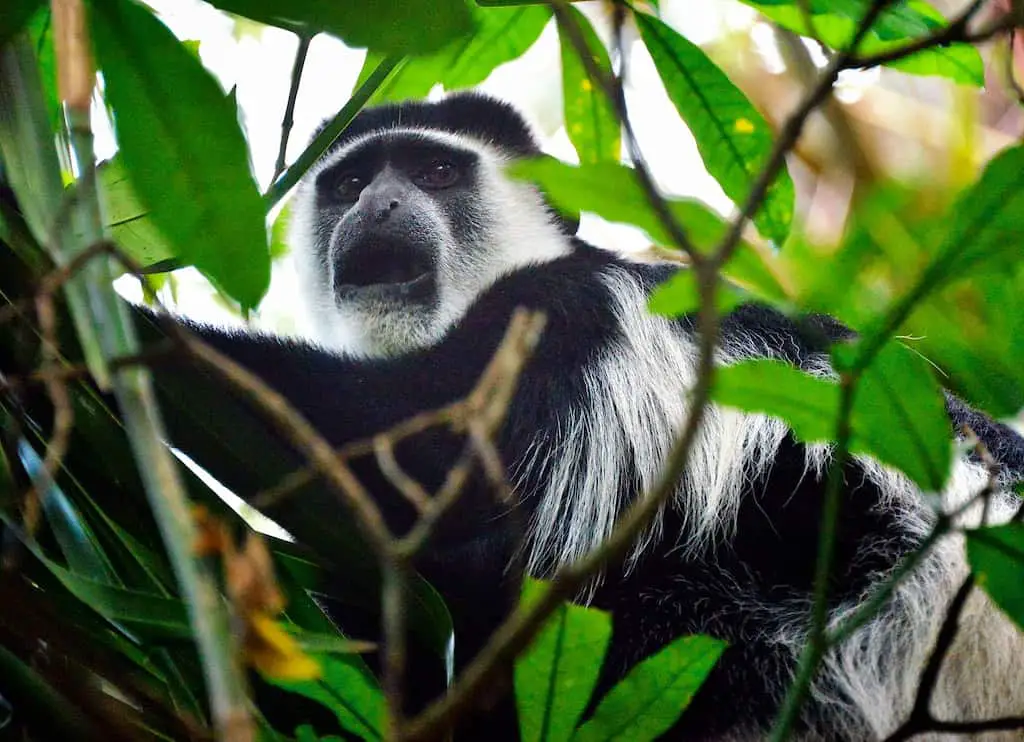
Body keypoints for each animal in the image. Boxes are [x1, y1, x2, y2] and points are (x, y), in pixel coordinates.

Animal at [157, 95, 1024, 736]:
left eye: (436, 171)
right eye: (348, 183)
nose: (378, 204)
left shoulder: (562, 318)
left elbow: (426, 461)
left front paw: (137, 337)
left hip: (855, 611)